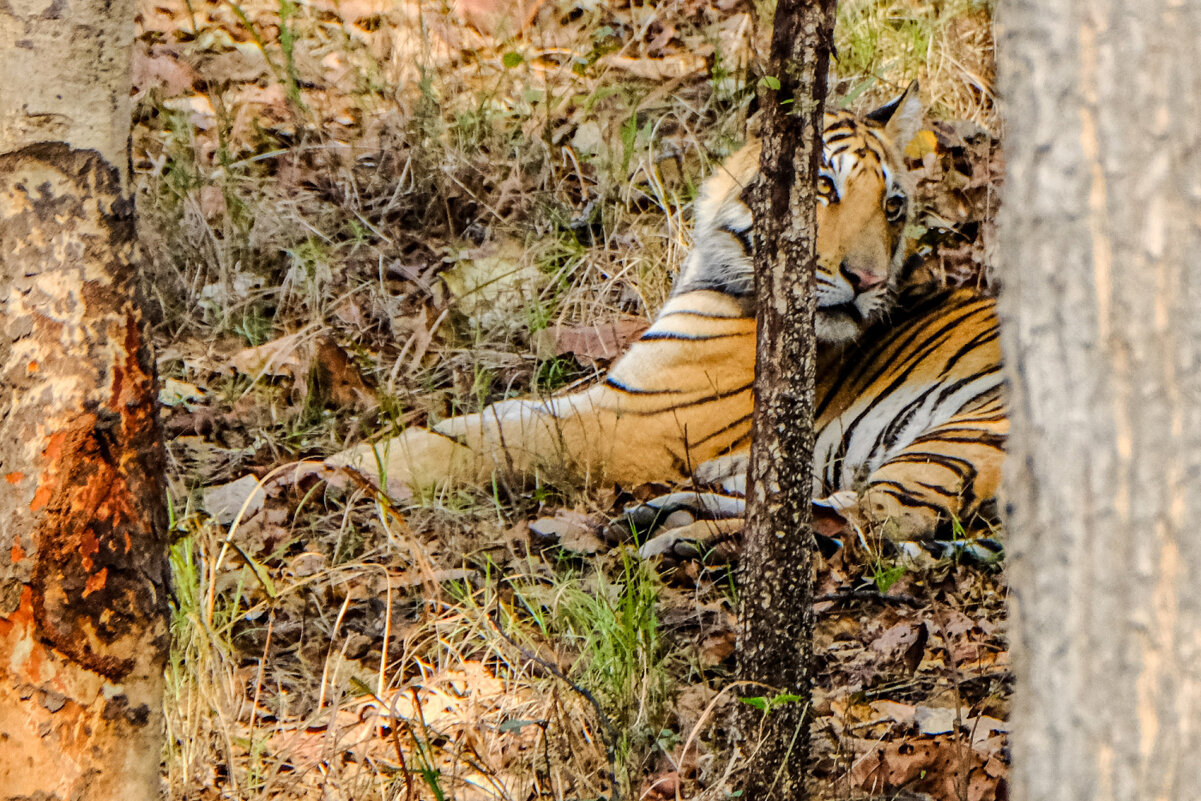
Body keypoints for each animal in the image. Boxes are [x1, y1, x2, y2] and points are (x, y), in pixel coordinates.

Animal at [326, 81, 1004, 545]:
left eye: (892, 206)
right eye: (823, 187)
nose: (868, 281)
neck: (715, 268)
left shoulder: (630, 421)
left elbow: (489, 439)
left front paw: (340, 468)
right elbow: (495, 416)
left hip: (960, 439)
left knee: (857, 523)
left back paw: (679, 531)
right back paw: (672, 509)